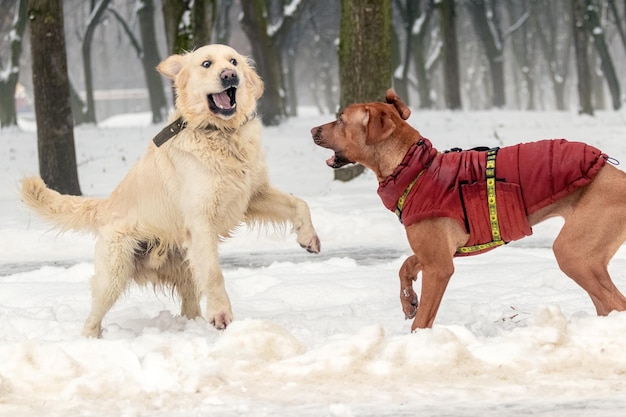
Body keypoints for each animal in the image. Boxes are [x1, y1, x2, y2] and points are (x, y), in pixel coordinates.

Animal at [312, 89, 626, 330]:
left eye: (340, 119)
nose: (313, 130)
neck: (414, 168)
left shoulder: (440, 267)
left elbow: (423, 319)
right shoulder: (436, 252)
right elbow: (405, 267)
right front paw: (408, 300)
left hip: (574, 252)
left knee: (616, 303)